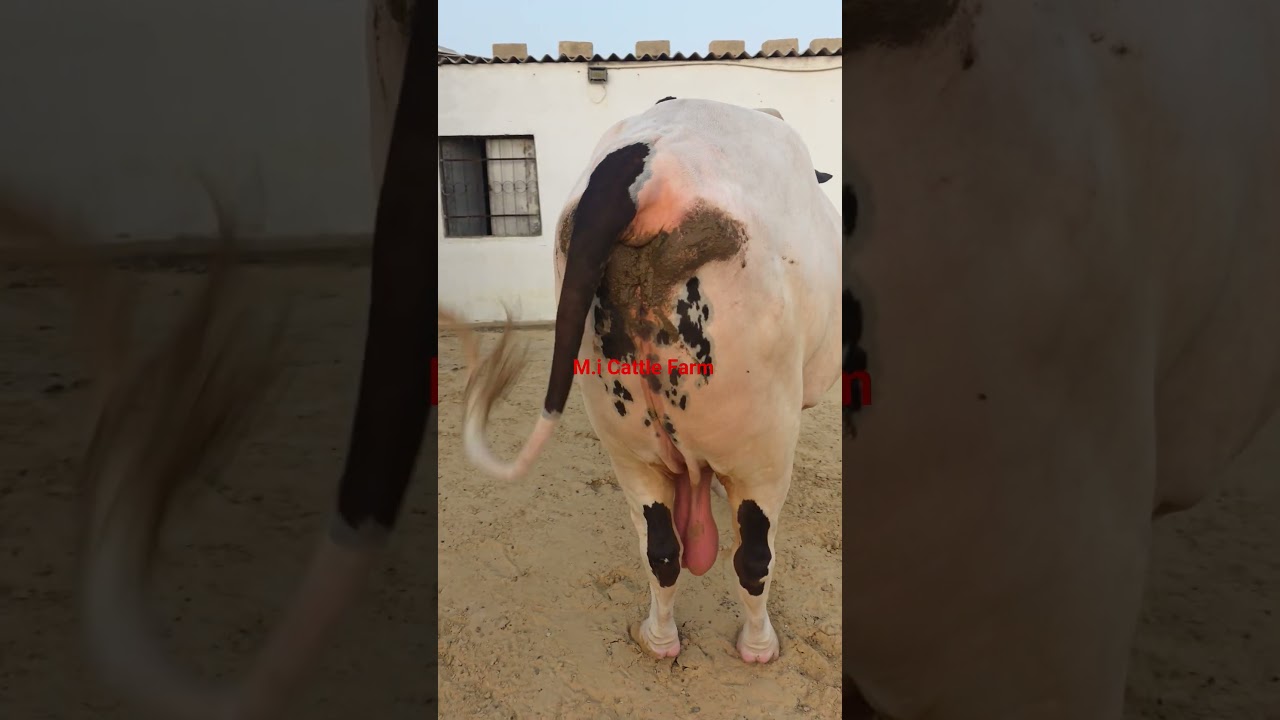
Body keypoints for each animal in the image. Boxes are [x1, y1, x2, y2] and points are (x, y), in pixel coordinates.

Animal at [447, 96, 842, 663]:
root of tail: (640, 164)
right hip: (759, 450)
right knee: (752, 557)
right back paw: (758, 647)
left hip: (629, 444)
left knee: (659, 550)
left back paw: (658, 640)